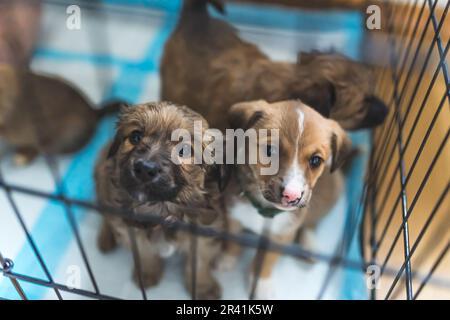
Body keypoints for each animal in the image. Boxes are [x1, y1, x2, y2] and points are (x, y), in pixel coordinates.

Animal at [96, 102, 227, 300]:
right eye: (135, 137)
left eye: (184, 150)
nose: (145, 168)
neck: (161, 208)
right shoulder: (131, 229)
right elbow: (145, 253)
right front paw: (148, 273)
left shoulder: (204, 232)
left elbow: (199, 263)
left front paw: (203, 287)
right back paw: (106, 238)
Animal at [221, 99, 352, 298]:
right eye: (270, 150)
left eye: (316, 160)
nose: (292, 195)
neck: (264, 211)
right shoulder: (233, 215)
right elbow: (232, 241)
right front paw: (227, 258)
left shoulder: (282, 235)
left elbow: (265, 261)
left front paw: (261, 285)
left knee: (311, 222)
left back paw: (309, 245)